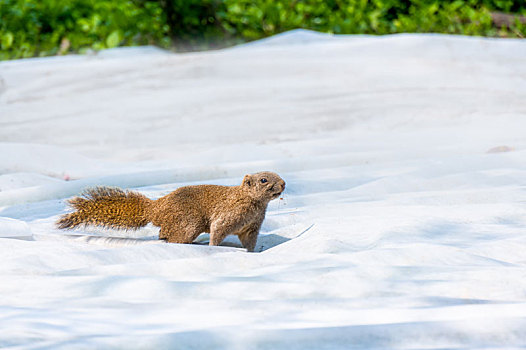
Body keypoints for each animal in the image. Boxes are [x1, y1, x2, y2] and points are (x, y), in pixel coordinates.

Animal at [56, 172, 286, 252]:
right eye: (264, 180)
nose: (284, 184)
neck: (253, 203)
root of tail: (156, 208)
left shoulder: (251, 227)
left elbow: (249, 242)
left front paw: (252, 253)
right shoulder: (228, 214)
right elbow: (217, 230)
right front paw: (214, 249)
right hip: (187, 223)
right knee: (172, 237)